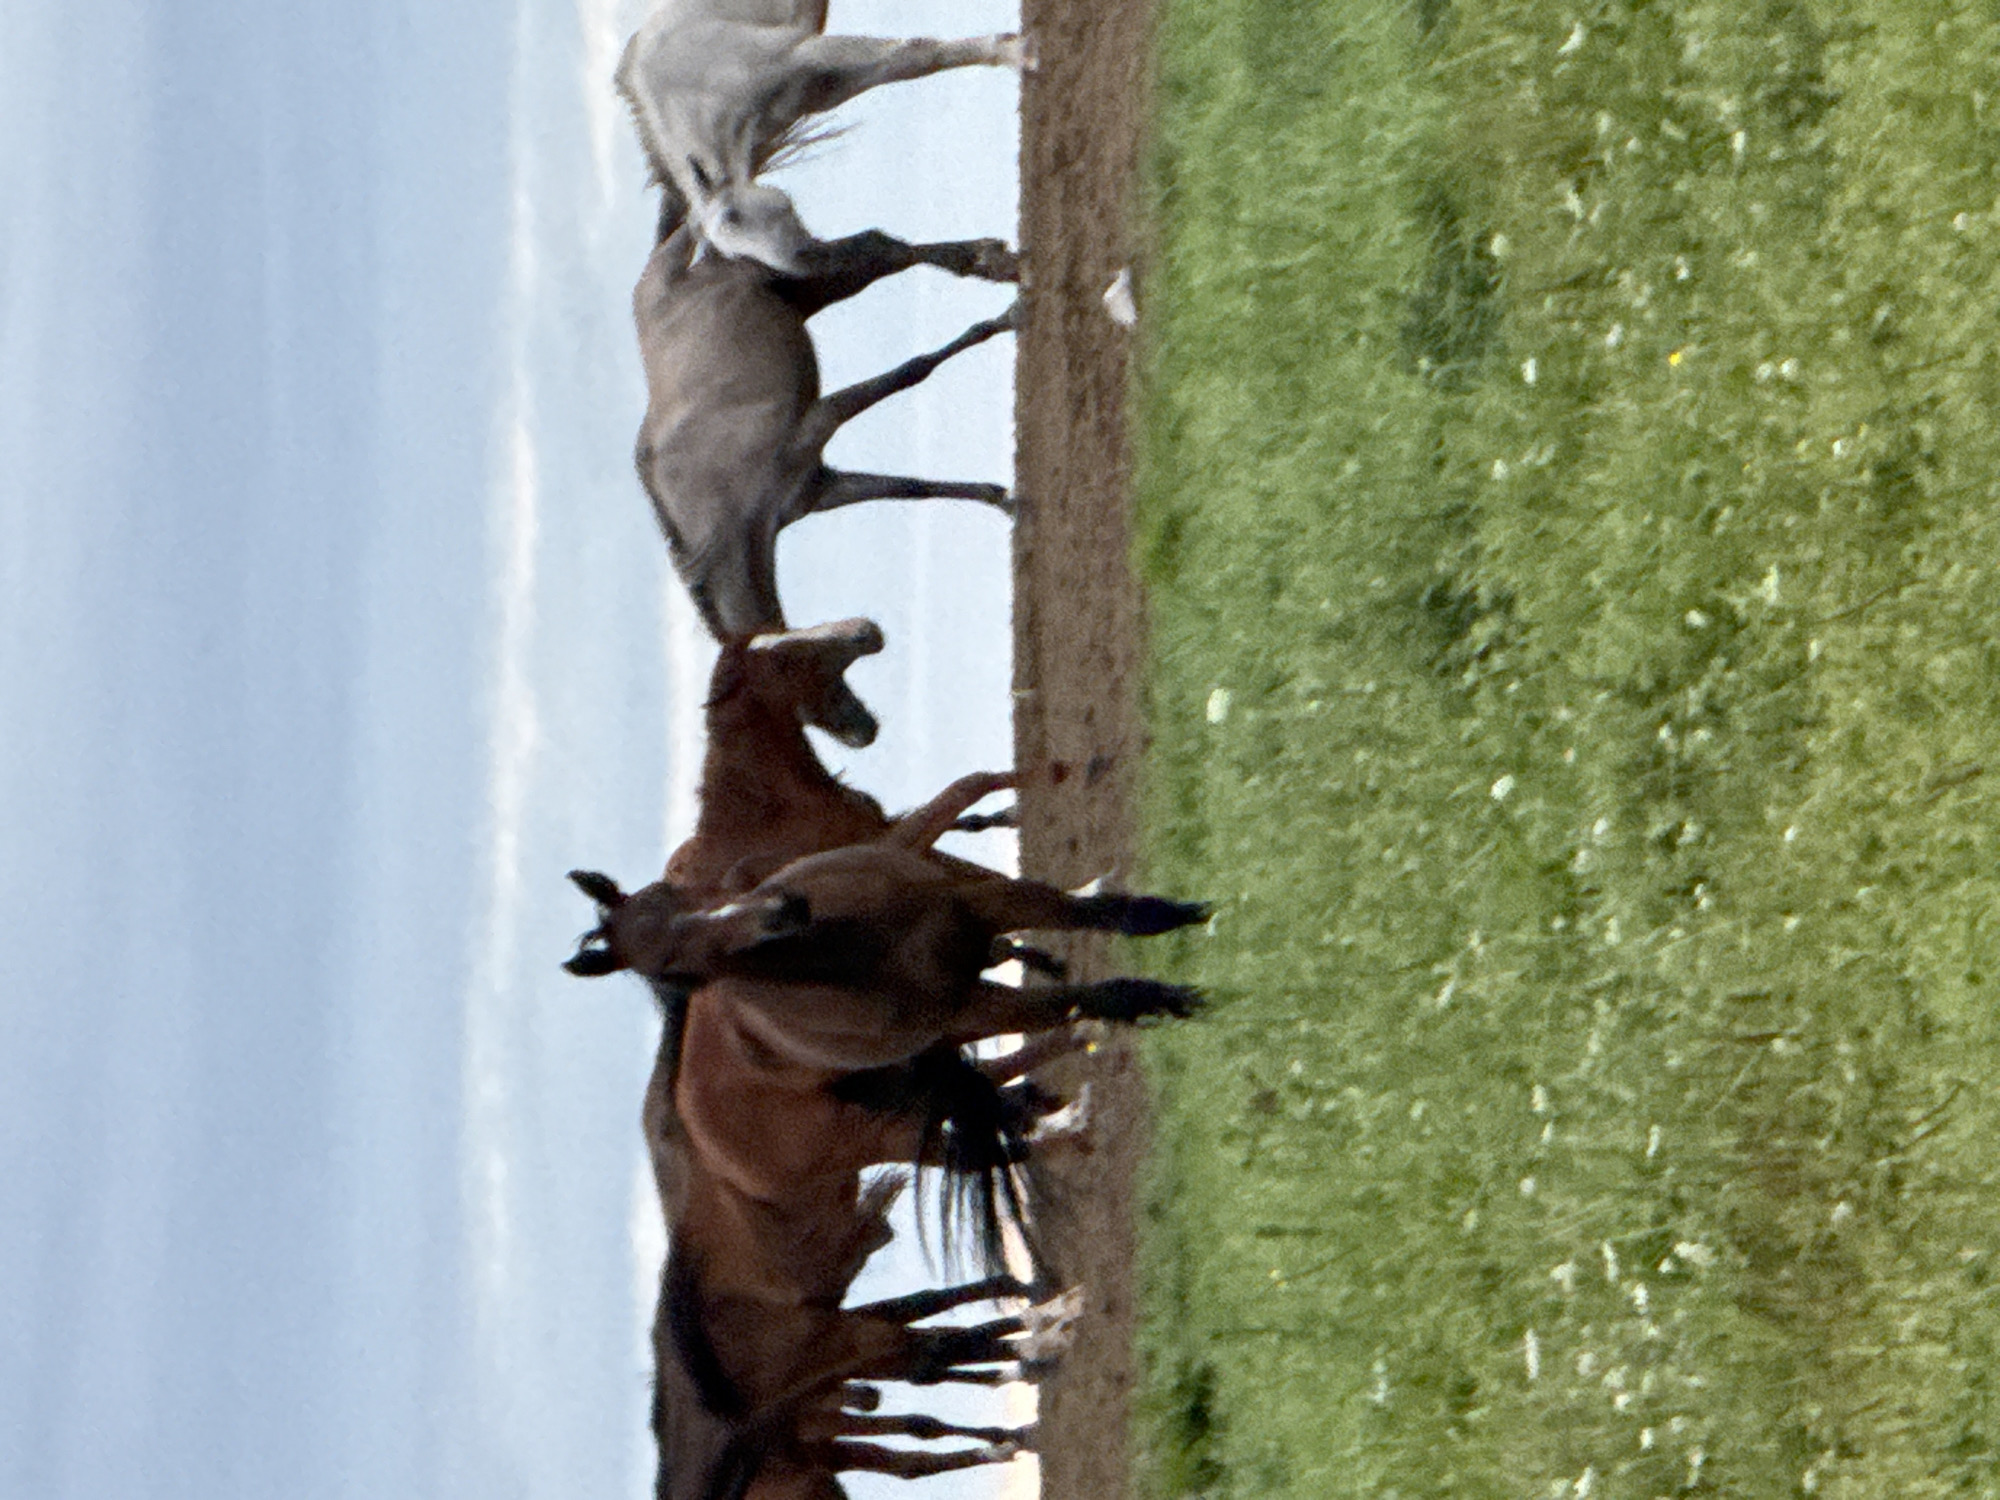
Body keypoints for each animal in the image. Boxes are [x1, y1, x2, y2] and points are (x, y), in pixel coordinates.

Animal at [616, 0, 1029, 270]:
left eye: (733, 216)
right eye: (736, 254)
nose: (802, 259)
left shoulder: (805, 54)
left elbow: (921, 56)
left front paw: (1017, 53)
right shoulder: (822, 86)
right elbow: (915, 60)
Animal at [634, 224, 1017, 729]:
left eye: (788, 668)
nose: (863, 732)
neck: (718, 507)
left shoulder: (817, 423)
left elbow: (911, 372)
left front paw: (1001, 321)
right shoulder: (818, 489)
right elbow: (910, 488)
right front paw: (1004, 498)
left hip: (802, 279)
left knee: (884, 250)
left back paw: (990, 264)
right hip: (806, 293)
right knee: (881, 248)